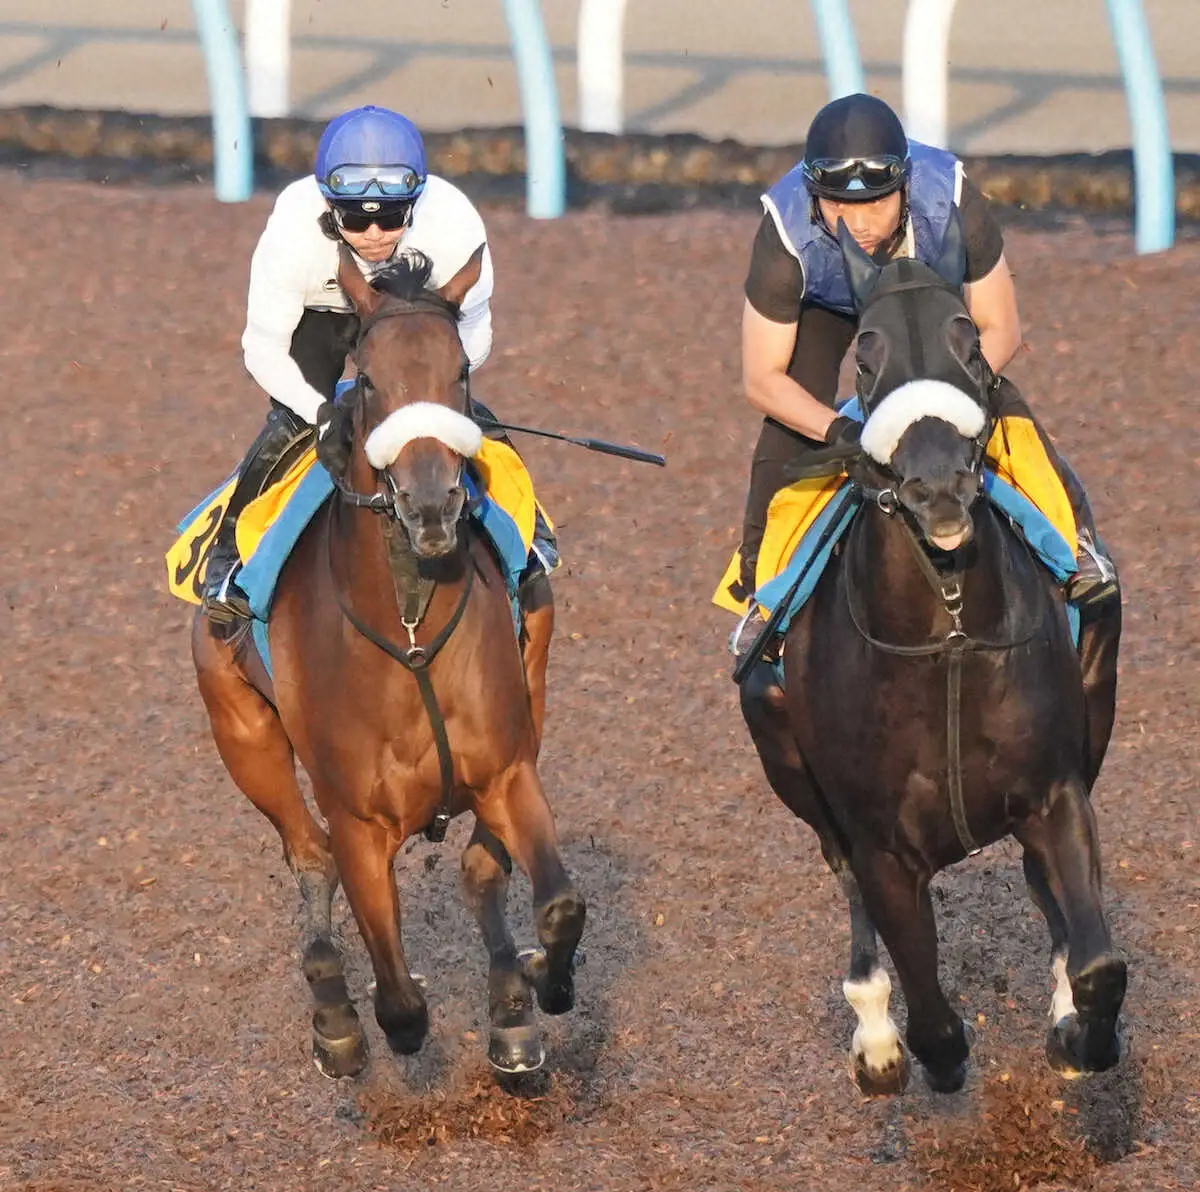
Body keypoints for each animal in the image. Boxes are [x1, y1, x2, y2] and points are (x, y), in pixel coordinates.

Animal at [190, 242, 585, 1080]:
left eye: (460, 371)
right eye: (367, 378)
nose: (433, 506)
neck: (407, 631)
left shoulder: (507, 769)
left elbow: (556, 901)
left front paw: (540, 988)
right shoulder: (359, 822)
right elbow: (399, 1000)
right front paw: (358, 1022)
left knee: (478, 873)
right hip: (244, 736)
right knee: (309, 857)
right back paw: (333, 1010)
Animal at [739, 218, 1123, 1094]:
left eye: (971, 344)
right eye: (865, 357)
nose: (939, 490)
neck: (944, 637)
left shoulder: (1054, 791)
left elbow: (1099, 964)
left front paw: (1081, 1034)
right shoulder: (880, 843)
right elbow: (936, 1023)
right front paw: (898, 1045)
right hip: (791, 771)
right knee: (845, 884)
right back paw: (874, 1031)